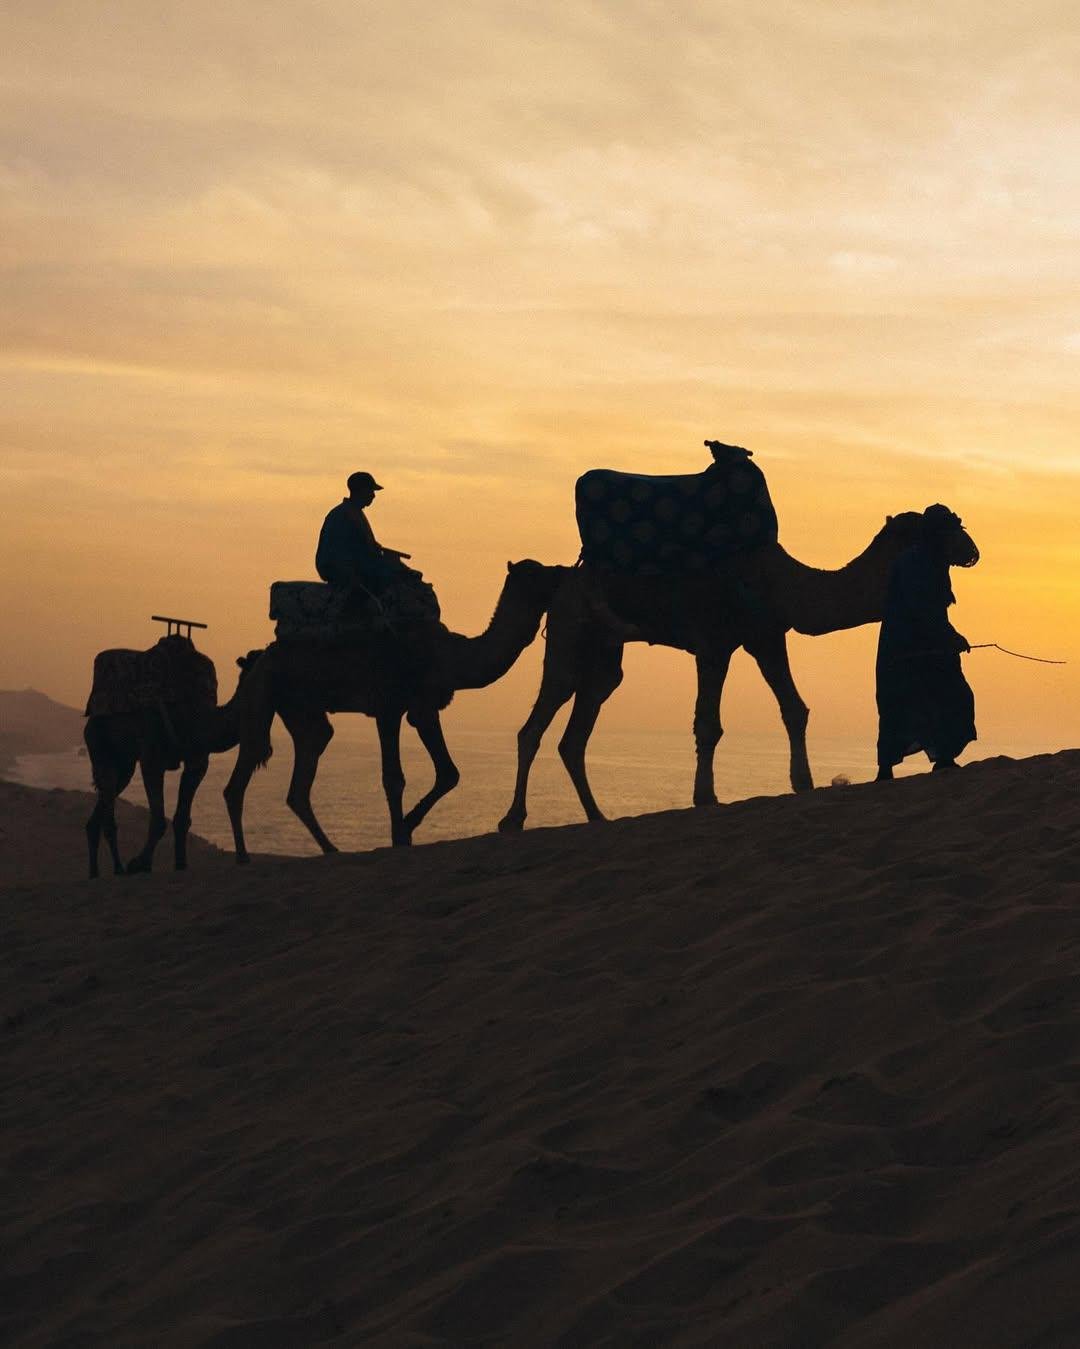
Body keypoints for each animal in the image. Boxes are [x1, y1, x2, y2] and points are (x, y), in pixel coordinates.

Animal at [84, 650, 262, 877]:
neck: (196, 716)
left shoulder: (197, 760)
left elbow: (182, 818)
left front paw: (181, 864)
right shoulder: (152, 755)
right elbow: (159, 819)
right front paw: (140, 864)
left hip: (124, 763)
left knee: (104, 803)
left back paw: (94, 872)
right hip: (97, 744)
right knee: (108, 797)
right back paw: (119, 868)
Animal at [223, 559, 566, 862]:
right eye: (538, 572)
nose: (563, 571)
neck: (449, 658)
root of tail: (257, 659)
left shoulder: (424, 708)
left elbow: (448, 773)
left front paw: (406, 827)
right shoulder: (388, 706)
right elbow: (394, 777)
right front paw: (400, 833)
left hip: (302, 710)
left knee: (304, 772)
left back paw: (331, 849)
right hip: (262, 697)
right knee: (242, 772)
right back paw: (243, 856)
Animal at [498, 508, 980, 831]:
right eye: (944, 527)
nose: (973, 550)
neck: (785, 583)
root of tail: (562, 576)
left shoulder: (766, 636)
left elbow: (795, 708)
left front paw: (803, 783)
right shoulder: (714, 643)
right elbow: (708, 723)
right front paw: (704, 796)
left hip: (603, 652)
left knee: (577, 729)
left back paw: (597, 816)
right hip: (569, 629)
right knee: (538, 720)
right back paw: (512, 819)